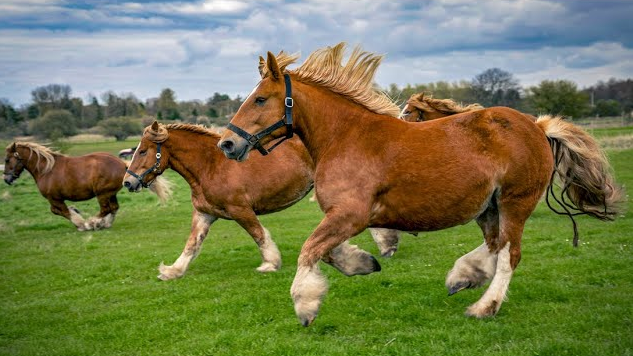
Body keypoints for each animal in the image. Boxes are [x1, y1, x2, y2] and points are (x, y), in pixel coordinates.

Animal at [3, 142, 170, 231]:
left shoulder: (54, 199)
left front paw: (81, 223)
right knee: (113, 208)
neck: (46, 170)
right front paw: (77, 213)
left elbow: (61, 211)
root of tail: (122, 163)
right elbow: (61, 211)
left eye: (6, 159)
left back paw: (93, 223)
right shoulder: (55, 199)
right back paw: (104, 223)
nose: (6, 178)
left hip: (102, 194)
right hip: (110, 193)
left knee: (106, 209)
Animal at [217, 41, 624, 326]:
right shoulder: (345, 217)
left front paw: (305, 305)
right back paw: (463, 276)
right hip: (488, 207)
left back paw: (484, 306)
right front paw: (363, 263)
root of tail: (537, 127)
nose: (227, 144)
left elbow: (310, 249)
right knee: (494, 247)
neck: (345, 137)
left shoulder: (351, 214)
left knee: (509, 255)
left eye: (260, 99)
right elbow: (327, 251)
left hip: (515, 203)